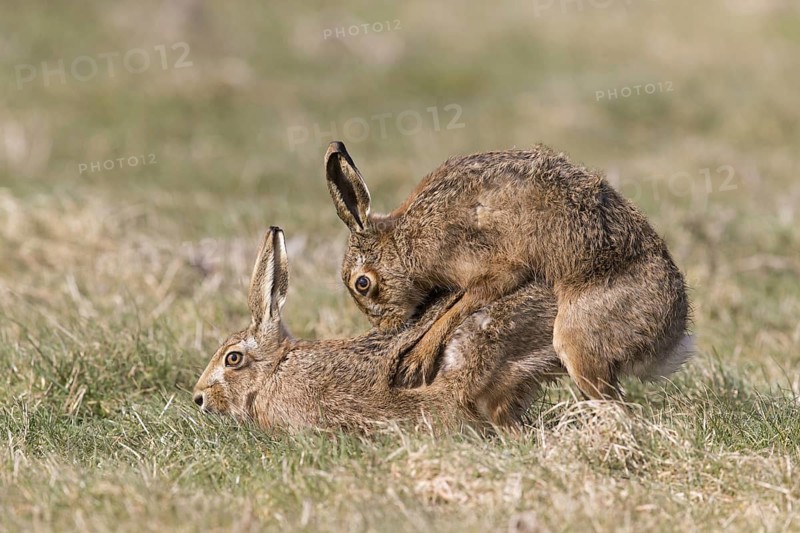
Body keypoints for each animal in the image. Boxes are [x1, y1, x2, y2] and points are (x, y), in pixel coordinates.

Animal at [324, 141, 692, 398]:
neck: (405, 242)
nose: (385, 327)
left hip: (578, 337)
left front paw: (417, 362)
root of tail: (671, 339)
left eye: (362, 284)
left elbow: (464, 303)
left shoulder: (492, 266)